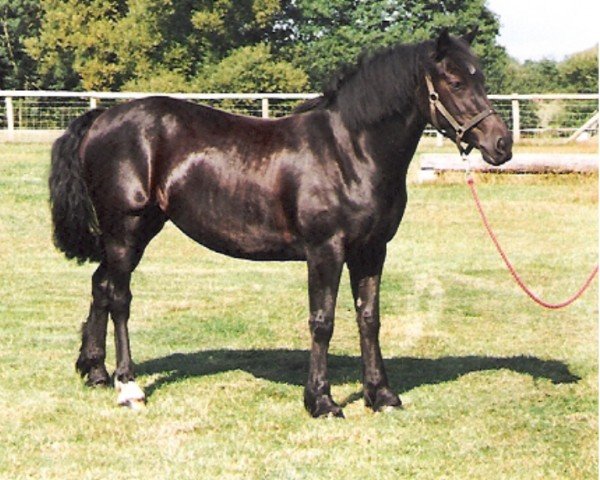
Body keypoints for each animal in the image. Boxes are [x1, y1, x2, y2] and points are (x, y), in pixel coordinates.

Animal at [50, 31, 510, 416]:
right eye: (455, 81)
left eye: (481, 77)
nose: (501, 143)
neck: (349, 152)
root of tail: (102, 118)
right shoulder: (326, 250)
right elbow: (322, 321)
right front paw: (321, 401)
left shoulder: (372, 250)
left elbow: (369, 318)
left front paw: (380, 395)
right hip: (126, 229)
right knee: (119, 298)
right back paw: (128, 386)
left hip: (137, 231)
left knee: (101, 286)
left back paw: (96, 372)